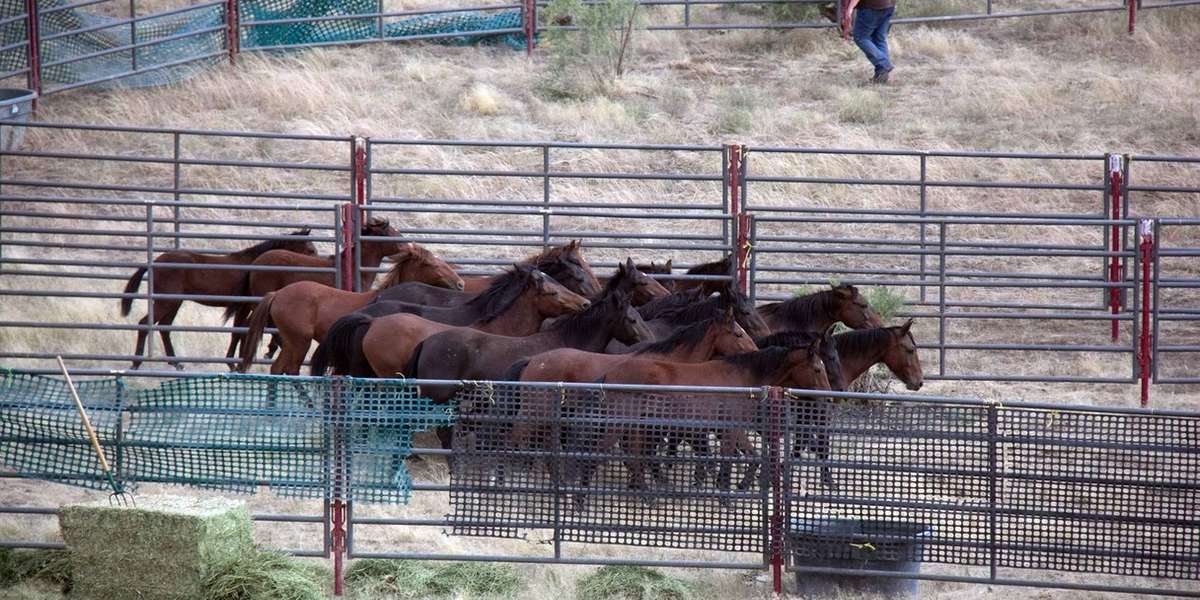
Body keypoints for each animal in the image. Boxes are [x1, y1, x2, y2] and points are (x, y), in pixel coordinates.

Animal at [119, 228, 317, 370]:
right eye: (310, 249)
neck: (253, 265)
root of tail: (154, 262)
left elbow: (240, 331)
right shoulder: (244, 306)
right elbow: (239, 331)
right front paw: (234, 363)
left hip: (174, 303)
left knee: (164, 327)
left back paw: (176, 363)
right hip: (166, 302)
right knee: (145, 324)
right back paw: (137, 363)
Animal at [236, 243, 464, 374]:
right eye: (431, 265)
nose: (460, 283)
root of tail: (277, 294)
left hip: (291, 341)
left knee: (277, 369)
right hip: (300, 341)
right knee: (291, 369)